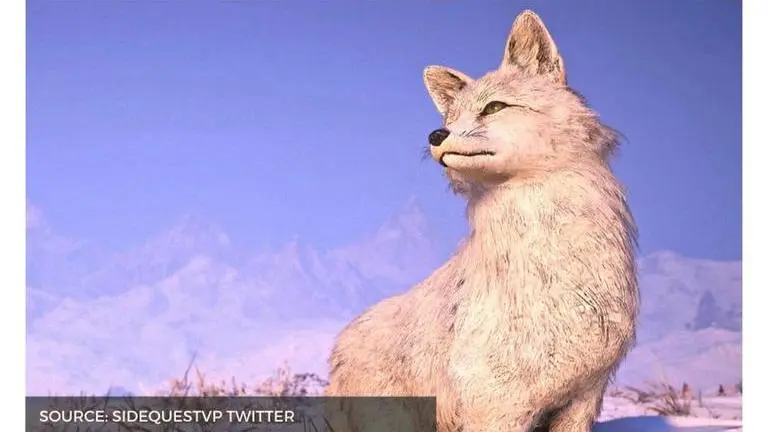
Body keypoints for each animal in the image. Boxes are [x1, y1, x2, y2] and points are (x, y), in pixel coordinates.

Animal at [325, 9, 639, 432]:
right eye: (450, 117)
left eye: (494, 108)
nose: (436, 134)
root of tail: (339, 347)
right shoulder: (497, 408)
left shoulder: (582, 401)